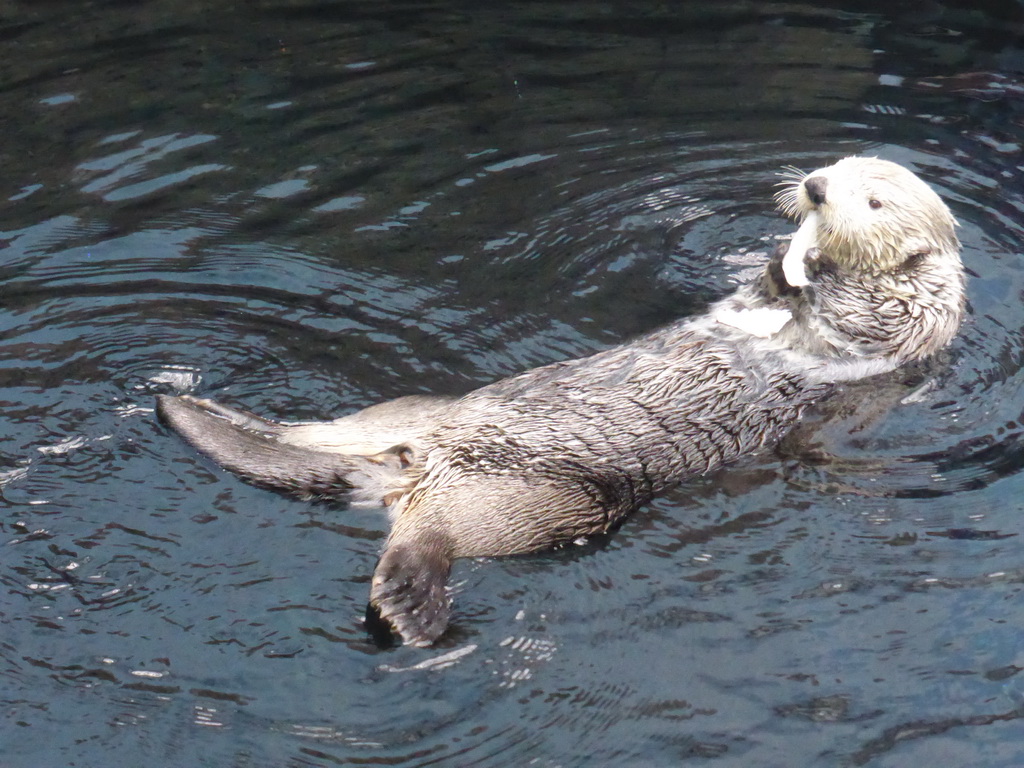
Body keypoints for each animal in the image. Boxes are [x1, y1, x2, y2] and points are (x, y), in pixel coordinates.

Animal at [157, 159, 966, 647]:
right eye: (836, 168)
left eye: (873, 199)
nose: (816, 188)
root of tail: (415, 465)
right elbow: (756, 291)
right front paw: (780, 260)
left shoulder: (901, 328)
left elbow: (860, 316)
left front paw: (814, 267)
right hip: (413, 412)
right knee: (321, 435)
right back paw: (198, 409)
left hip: (535, 507)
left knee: (427, 542)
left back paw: (406, 608)